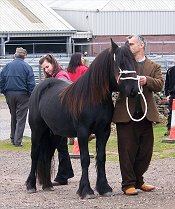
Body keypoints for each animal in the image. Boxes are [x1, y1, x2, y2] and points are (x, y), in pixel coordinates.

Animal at [25, 39, 138, 199]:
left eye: (133, 61)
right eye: (120, 63)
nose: (134, 89)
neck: (92, 98)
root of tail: (40, 87)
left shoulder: (104, 132)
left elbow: (101, 157)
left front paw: (104, 188)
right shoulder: (83, 133)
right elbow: (85, 159)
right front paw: (86, 190)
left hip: (54, 134)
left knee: (47, 156)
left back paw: (47, 185)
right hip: (37, 131)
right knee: (34, 154)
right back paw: (31, 185)